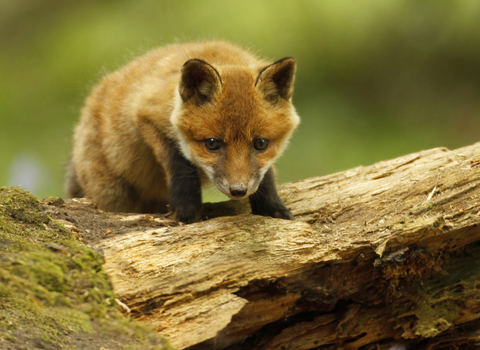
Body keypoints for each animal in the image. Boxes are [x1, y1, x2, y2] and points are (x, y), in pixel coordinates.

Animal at [66, 40, 300, 221]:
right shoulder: (146, 116)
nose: (238, 190)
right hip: (112, 194)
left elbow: (266, 175)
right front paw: (186, 212)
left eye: (261, 143)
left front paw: (273, 209)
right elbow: (180, 164)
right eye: (212, 143)